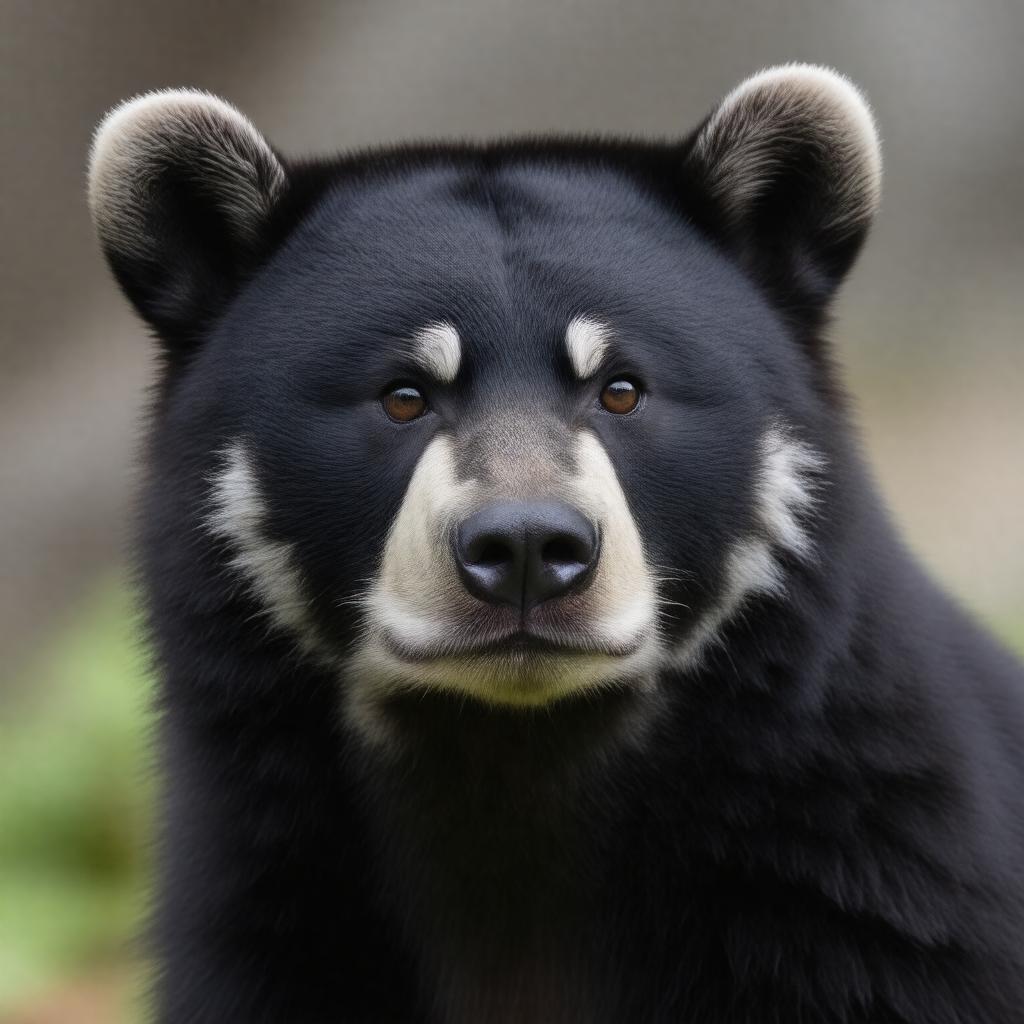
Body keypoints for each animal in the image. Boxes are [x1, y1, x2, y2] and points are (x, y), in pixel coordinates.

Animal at [87, 65, 1024, 1023]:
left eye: (621, 390)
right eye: (403, 396)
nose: (528, 545)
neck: (519, 748)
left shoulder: (861, 883)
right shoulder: (262, 905)